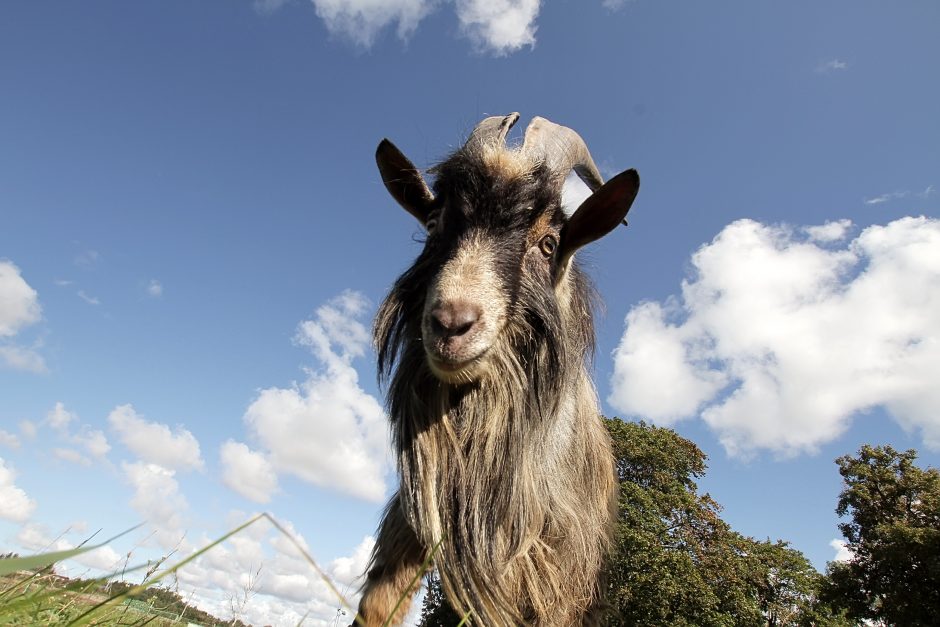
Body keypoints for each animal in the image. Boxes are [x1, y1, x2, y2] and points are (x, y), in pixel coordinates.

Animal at [352, 114, 640, 627]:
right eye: (434, 224)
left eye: (548, 244)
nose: (451, 323)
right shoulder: (413, 524)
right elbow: (379, 605)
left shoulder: (556, 570)